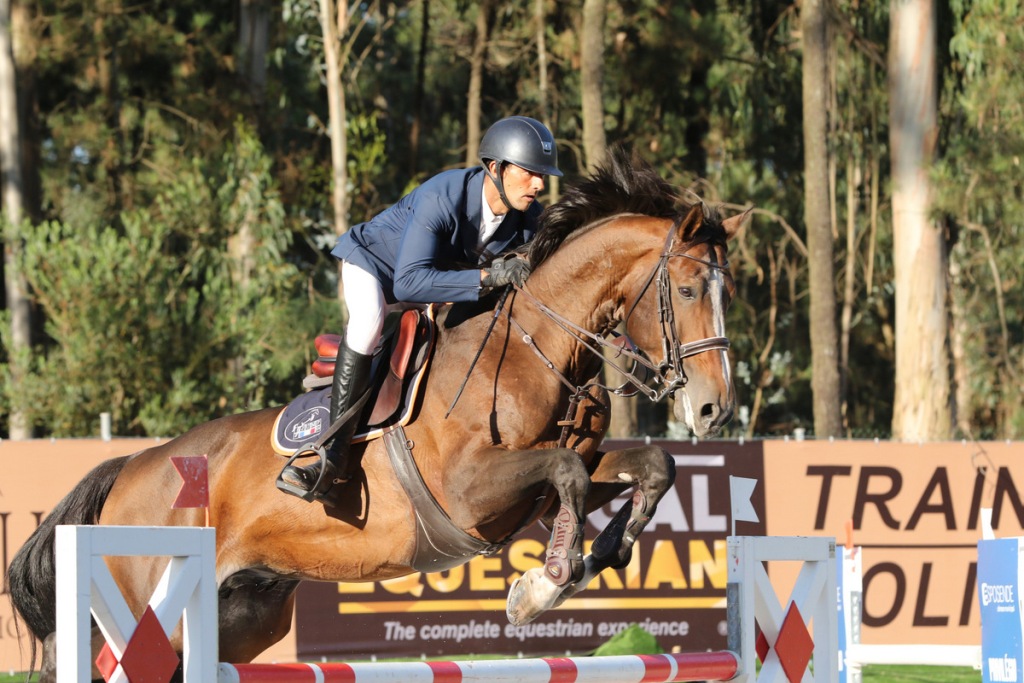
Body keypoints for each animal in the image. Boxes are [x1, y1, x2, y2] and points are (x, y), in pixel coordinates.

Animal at [6, 147, 745, 679]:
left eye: (727, 291)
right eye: (685, 289)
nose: (714, 409)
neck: (537, 345)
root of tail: (134, 465)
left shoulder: (556, 479)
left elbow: (650, 465)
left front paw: (603, 555)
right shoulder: (470, 491)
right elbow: (565, 471)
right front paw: (542, 584)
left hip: (241, 616)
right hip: (147, 602)